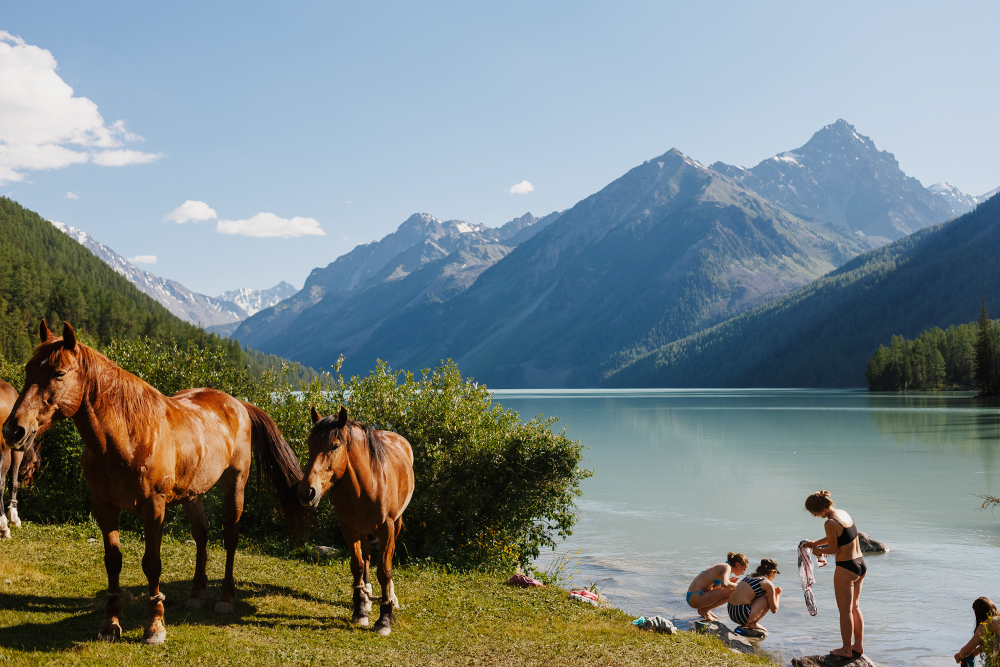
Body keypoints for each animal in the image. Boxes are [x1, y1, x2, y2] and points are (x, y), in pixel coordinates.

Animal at [1, 320, 306, 644]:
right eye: (28, 370)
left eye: (58, 373)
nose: (14, 430)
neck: (127, 437)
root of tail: (237, 404)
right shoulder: (104, 507)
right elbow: (113, 561)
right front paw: (110, 625)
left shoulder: (154, 507)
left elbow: (152, 563)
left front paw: (155, 626)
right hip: (192, 494)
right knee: (201, 535)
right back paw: (197, 594)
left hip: (235, 484)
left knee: (230, 537)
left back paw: (225, 598)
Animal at [296, 408, 414, 636]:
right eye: (309, 443)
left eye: (335, 445)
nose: (307, 492)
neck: (370, 484)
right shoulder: (349, 529)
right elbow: (358, 566)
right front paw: (360, 611)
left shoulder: (387, 529)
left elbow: (384, 570)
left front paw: (385, 619)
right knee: (366, 558)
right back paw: (367, 597)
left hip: (395, 525)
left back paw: (391, 598)